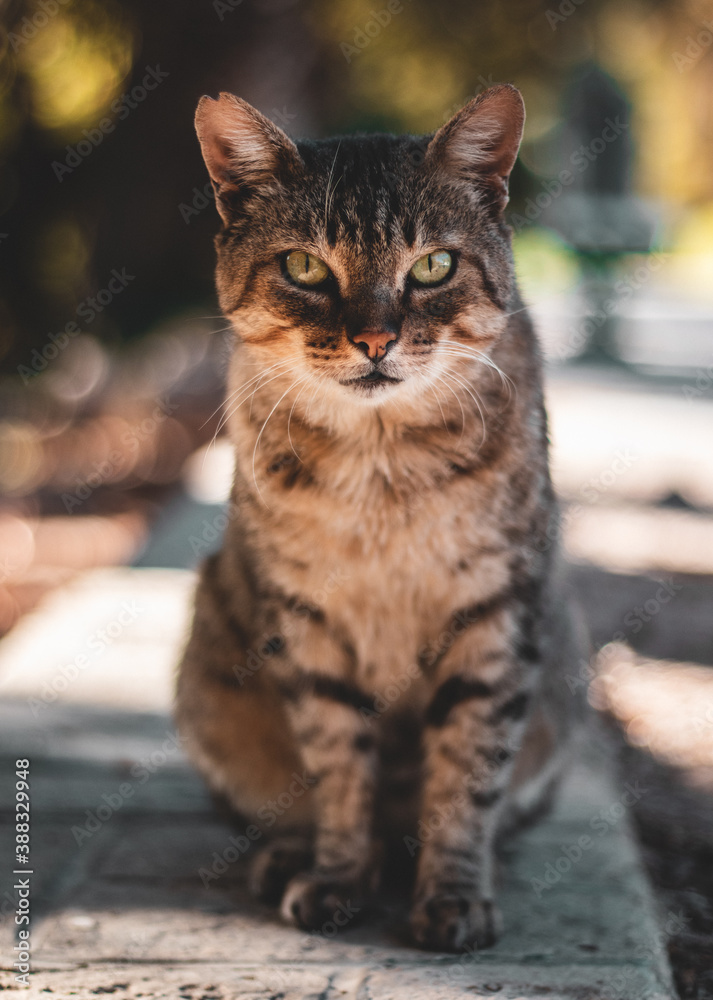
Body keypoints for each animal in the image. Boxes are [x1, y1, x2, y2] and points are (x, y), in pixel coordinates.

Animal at [175, 86, 588, 952]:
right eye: (303, 266)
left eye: (433, 266)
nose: (373, 338)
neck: (382, 471)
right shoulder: (308, 623)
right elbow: (337, 768)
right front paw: (338, 876)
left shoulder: (495, 614)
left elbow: (467, 774)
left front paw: (453, 895)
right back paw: (290, 857)